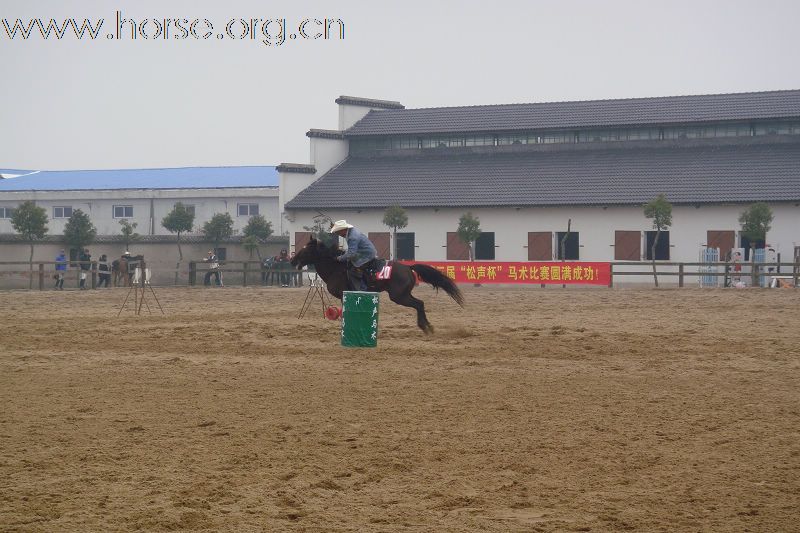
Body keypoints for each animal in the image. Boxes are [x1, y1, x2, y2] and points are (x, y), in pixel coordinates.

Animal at [290, 237, 462, 332]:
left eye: (306, 250)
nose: (292, 260)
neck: (336, 268)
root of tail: (408, 268)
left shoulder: (343, 294)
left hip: (399, 296)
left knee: (419, 304)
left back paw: (425, 327)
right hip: (403, 295)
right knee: (420, 304)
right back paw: (427, 326)